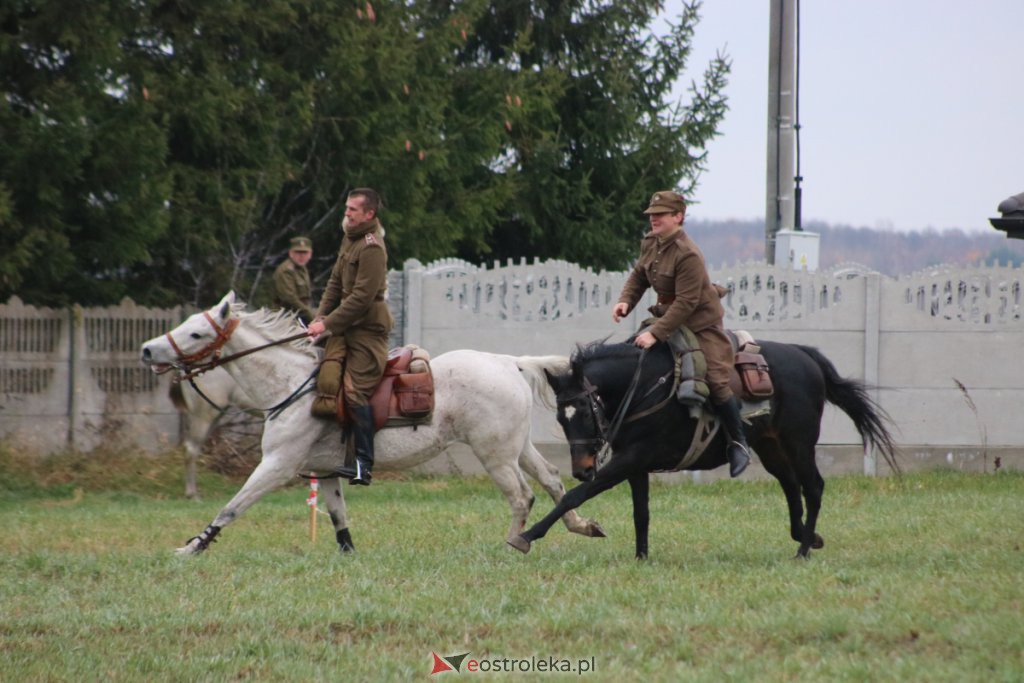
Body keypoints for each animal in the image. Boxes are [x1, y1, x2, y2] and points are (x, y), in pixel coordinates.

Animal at [509, 342, 897, 561]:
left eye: (586, 413)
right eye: (561, 417)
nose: (581, 467)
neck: (643, 388)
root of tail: (807, 357)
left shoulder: (630, 459)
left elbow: (576, 495)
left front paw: (526, 537)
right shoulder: (635, 465)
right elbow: (641, 513)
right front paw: (641, 556)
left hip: (799, 442)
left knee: (812, 487)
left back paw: (802, 550)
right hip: (770, 447)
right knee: (790, 486)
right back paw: (806, 536)